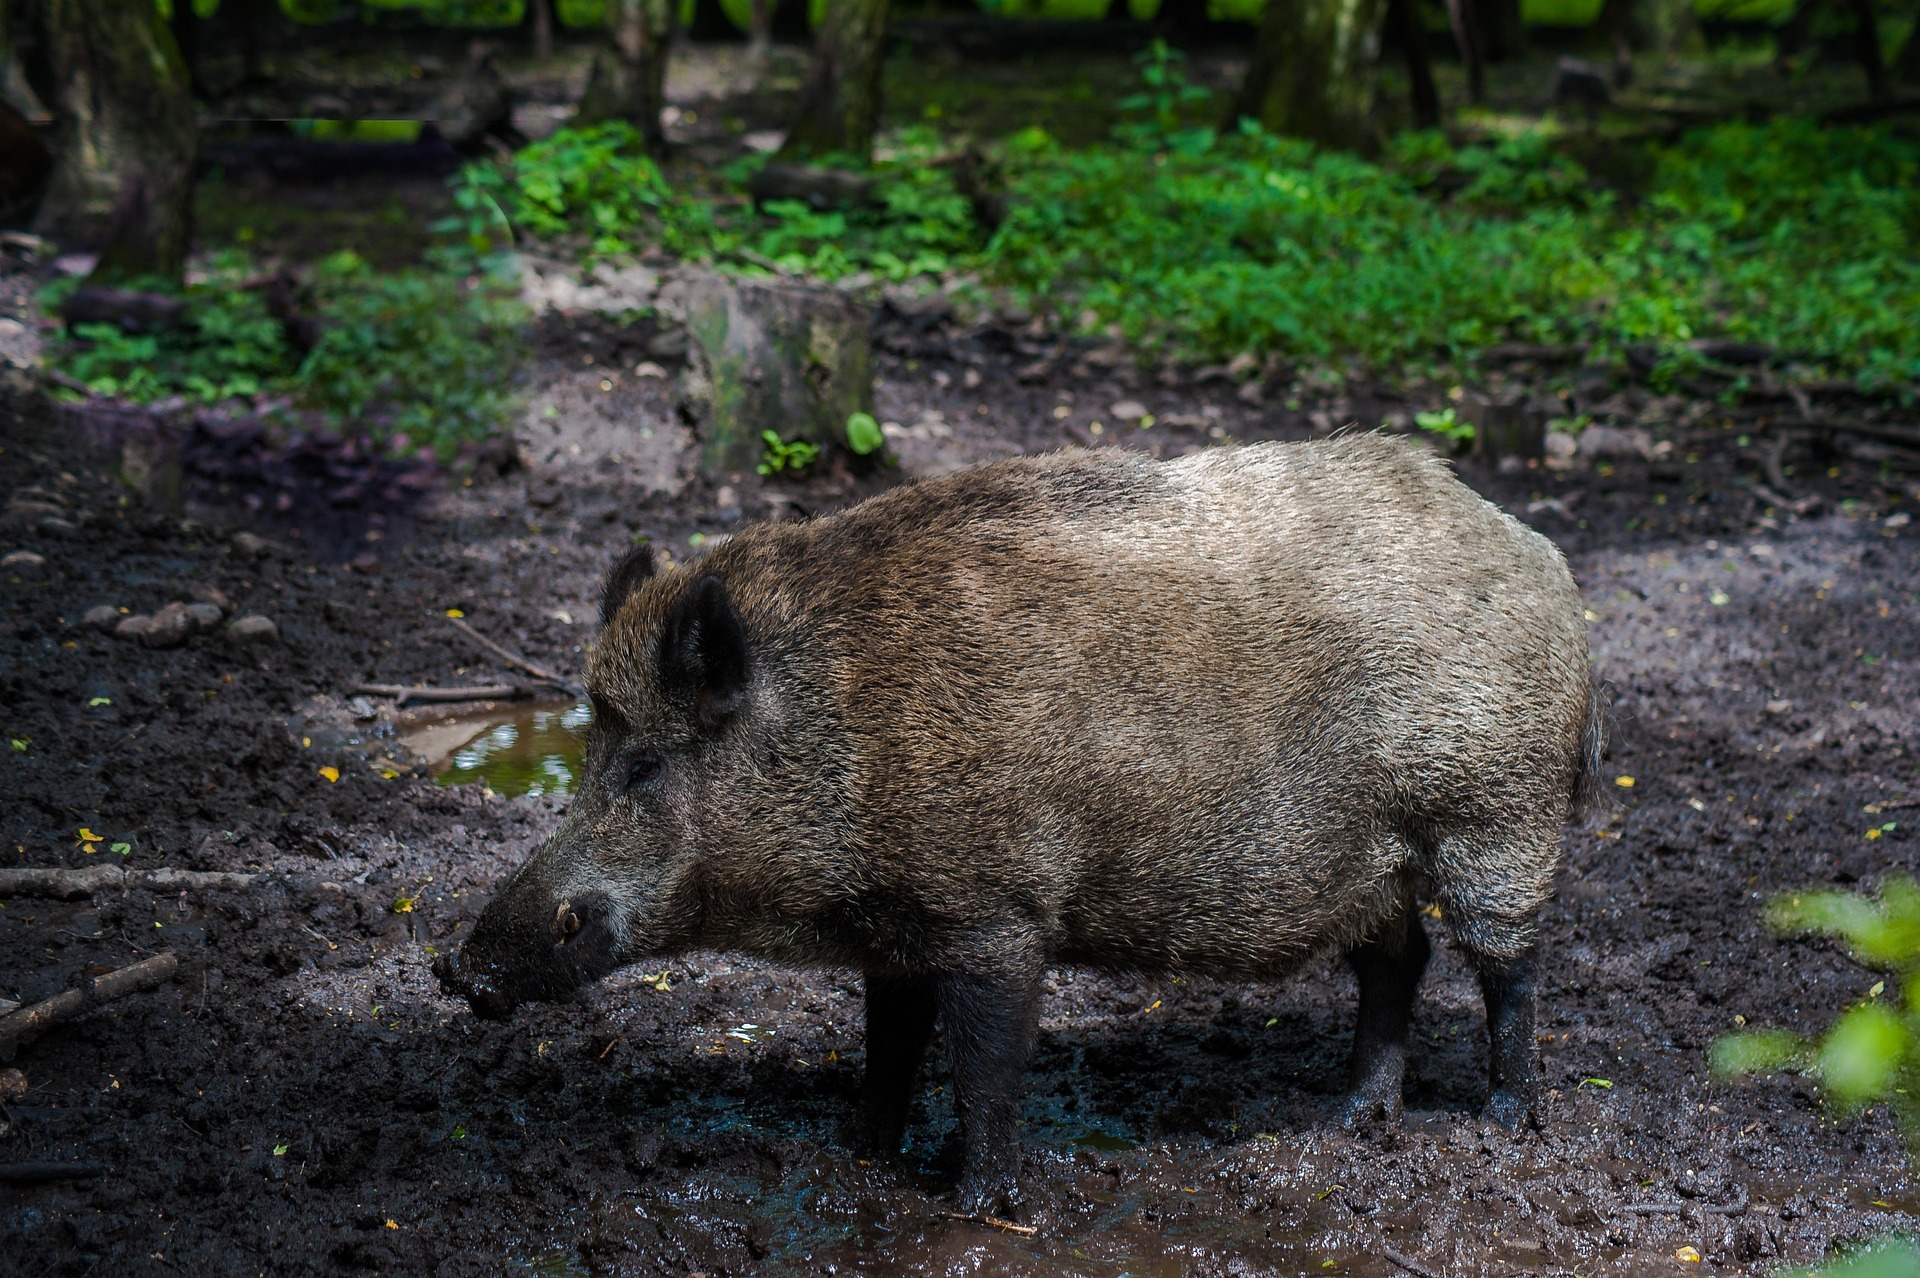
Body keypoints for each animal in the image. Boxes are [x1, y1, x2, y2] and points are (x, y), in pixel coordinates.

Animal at [434, 435, 1606, 1215]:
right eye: (589, 749)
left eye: (643, 764)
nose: (456, 968)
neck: (846, 728)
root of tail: (1543, 559)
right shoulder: (896, 929)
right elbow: (890, 1047)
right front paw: (858, 1155)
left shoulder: (994, 912)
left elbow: (986, 1068)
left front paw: (974, 1206)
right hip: (1373, 861)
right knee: (1397, 961)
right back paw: (1350, 1122)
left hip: (1498, 812)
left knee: (1509, 966)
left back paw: (1501, 1122)